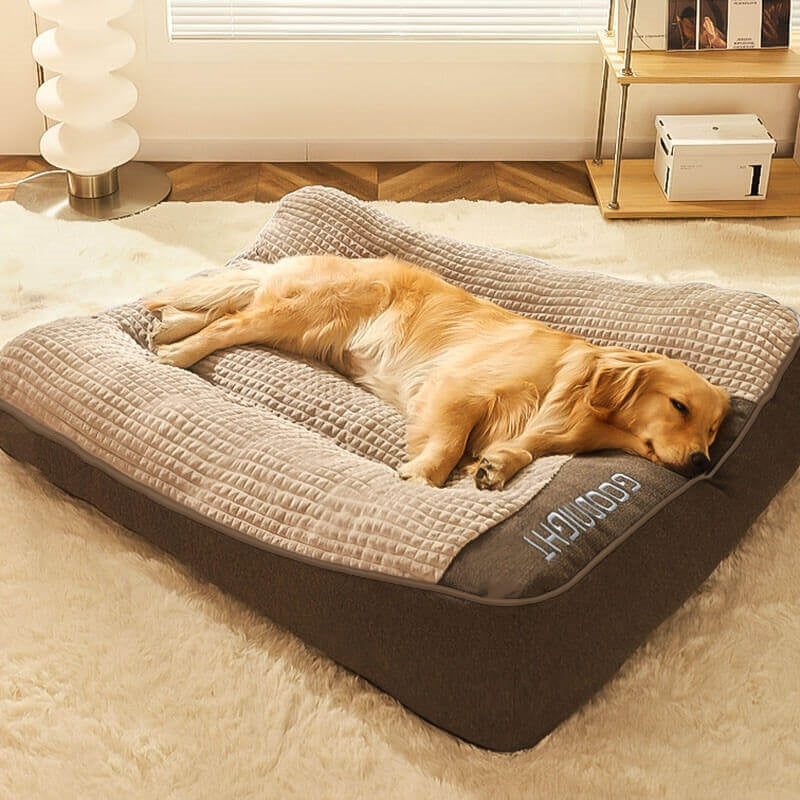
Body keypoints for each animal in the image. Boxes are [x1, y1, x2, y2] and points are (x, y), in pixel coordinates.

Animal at [145, 256, 732, 488]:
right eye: (678, 406)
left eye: (712, 432)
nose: (703, 463)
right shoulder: (459, 388)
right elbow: (449, 443)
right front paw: (425, 476)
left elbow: (520, 448)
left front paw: (496, 467)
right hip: (309, 313)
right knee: (228, 325)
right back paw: (176, 355)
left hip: (299, 331)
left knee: (226, 312)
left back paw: (170, 328)